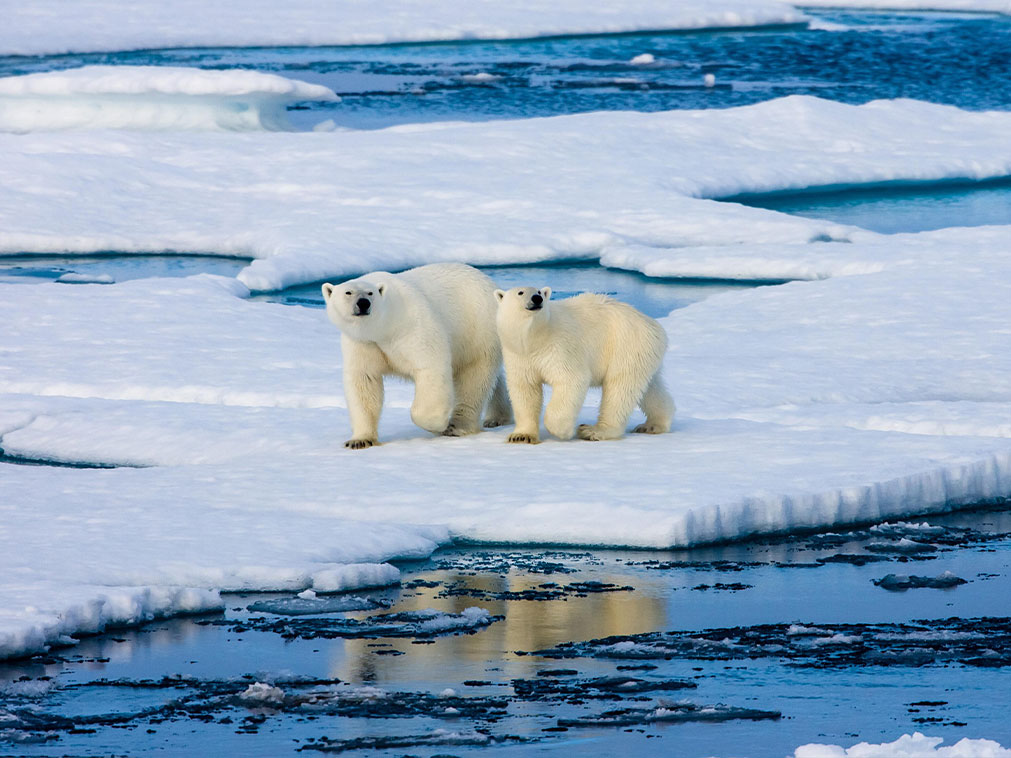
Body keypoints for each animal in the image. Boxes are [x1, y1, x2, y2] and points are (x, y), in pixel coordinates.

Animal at [323, 264, 509, 448]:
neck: (385, 326)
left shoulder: (412, 326)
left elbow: (430, 367)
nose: (363, 303)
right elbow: (364, 380)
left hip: (477, 330)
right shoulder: (363, 342)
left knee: (473, 378)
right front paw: (359, 440)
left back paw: (457, 426)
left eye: (370, 293)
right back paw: (497, 417)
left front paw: (439, 425)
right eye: (348, 292)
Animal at [495, 287, 675, 444]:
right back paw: (653, 425)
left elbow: (572, 379)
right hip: (643, 353)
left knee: (619, 389)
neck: (534, 338)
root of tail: (654, 325)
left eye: (539, 291)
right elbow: (525, 390)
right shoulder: (519, 356)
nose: (537, 299)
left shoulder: (559, 346)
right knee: (649, 388)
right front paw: (521, 436)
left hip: (626, 346)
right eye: (520, 292)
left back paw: (593, 431)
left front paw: (563, 431)